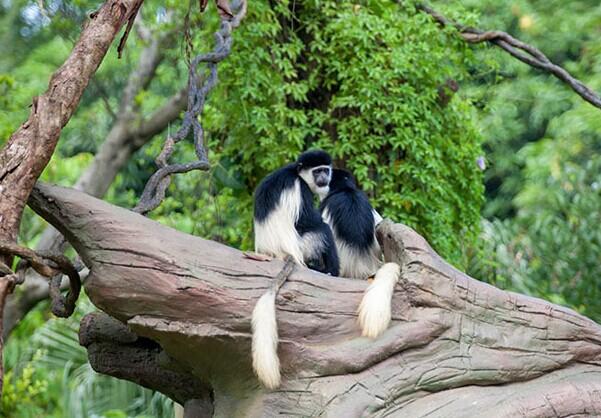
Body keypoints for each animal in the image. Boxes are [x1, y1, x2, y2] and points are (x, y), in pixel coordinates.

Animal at [251, 149, 340, 388]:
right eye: (317, 171)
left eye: (325, 170)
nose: (324, 179)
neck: (297, 173)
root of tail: (280, 253)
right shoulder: (301, 191)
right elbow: (308, 220)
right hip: (303, 245)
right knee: (322, 230)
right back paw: (330, 271)